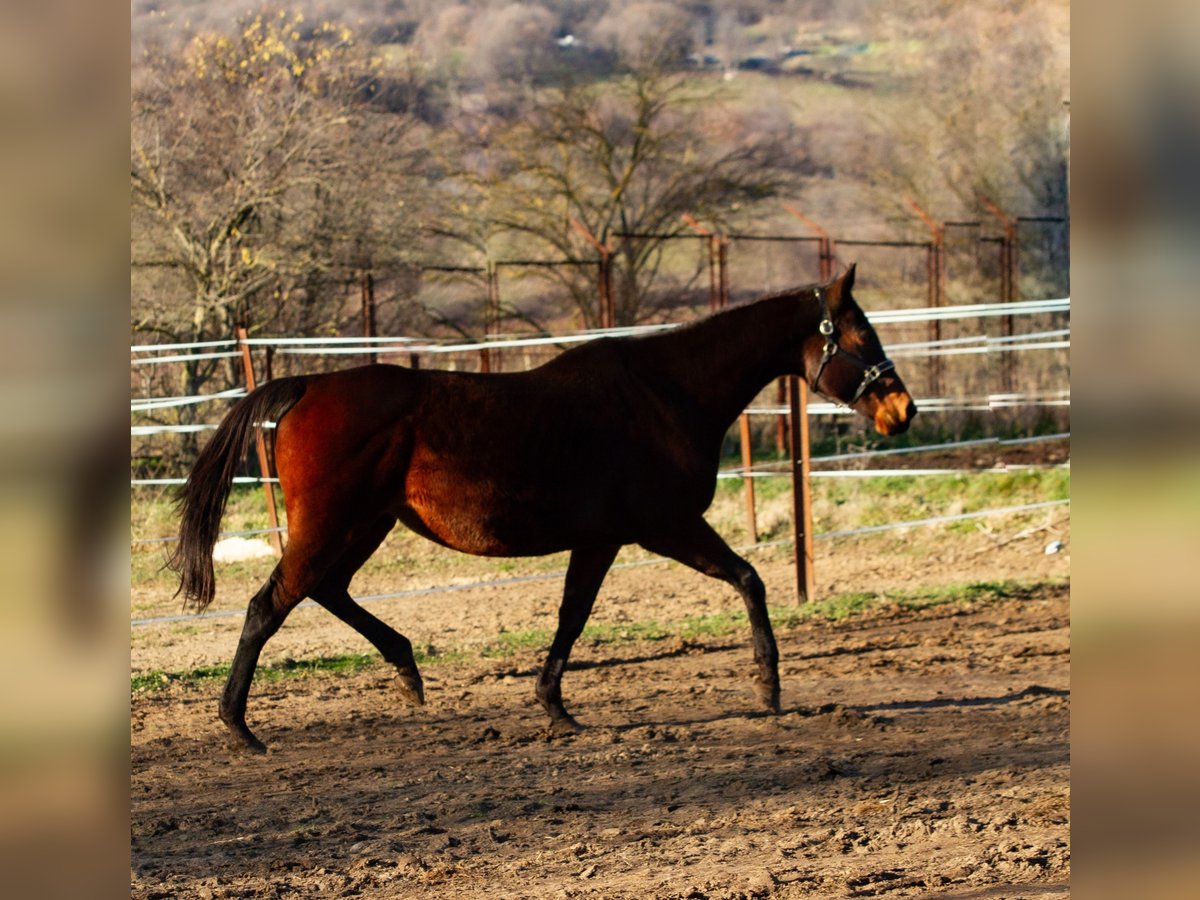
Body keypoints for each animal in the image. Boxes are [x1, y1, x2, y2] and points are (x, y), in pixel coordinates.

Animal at [169, 262, 912, 753]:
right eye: (861, 338)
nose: (902, 411)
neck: (668, 393)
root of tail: (309, 383)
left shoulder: (602, 540)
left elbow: (571, 617)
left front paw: (553, 707)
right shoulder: (667, 525)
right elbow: (749, 579)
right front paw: (767, 685)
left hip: (365, 525)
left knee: (326, 592)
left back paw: (408, 671)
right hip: (333, 524)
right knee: (268, 606)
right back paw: (240, 727)